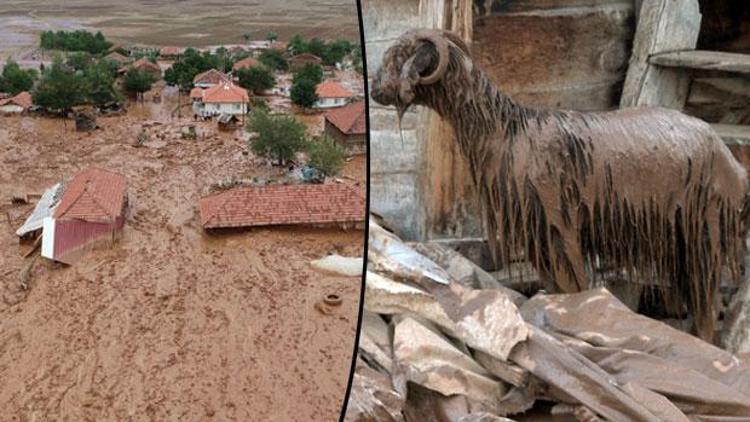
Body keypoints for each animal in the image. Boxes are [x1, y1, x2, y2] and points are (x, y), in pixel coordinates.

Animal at [374, 28, 748, 340]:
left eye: (401, 56)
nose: (376, 89)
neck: (507, 132)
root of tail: (731, 163)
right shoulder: (538, 234)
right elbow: (557, 289)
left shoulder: (561, 225)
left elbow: (575, 287)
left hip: (704, 229)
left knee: (706, 303)